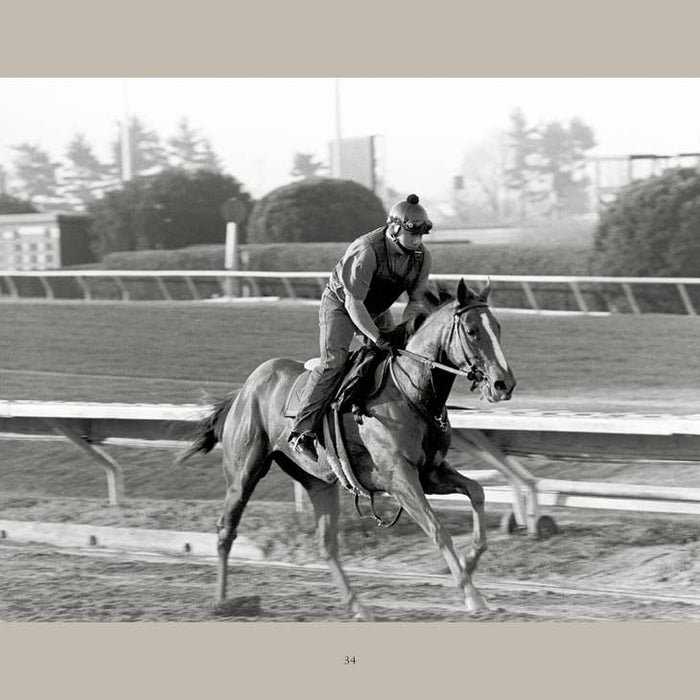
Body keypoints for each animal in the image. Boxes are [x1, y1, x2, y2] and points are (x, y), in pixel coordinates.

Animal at [177, 278, 516, 620]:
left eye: (498, 327)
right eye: (472, 331)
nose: (504, 384)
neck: (411, 392)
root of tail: (245, 388)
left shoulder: (430, 472)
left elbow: (477, 492)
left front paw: (470, 563)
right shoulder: (399, 477)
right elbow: (437, 529)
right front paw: (472, 595)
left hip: (318, 481)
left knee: (327, 544)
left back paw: (358, 606)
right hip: (244, 472)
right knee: (226, 529)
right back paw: (222, 602)